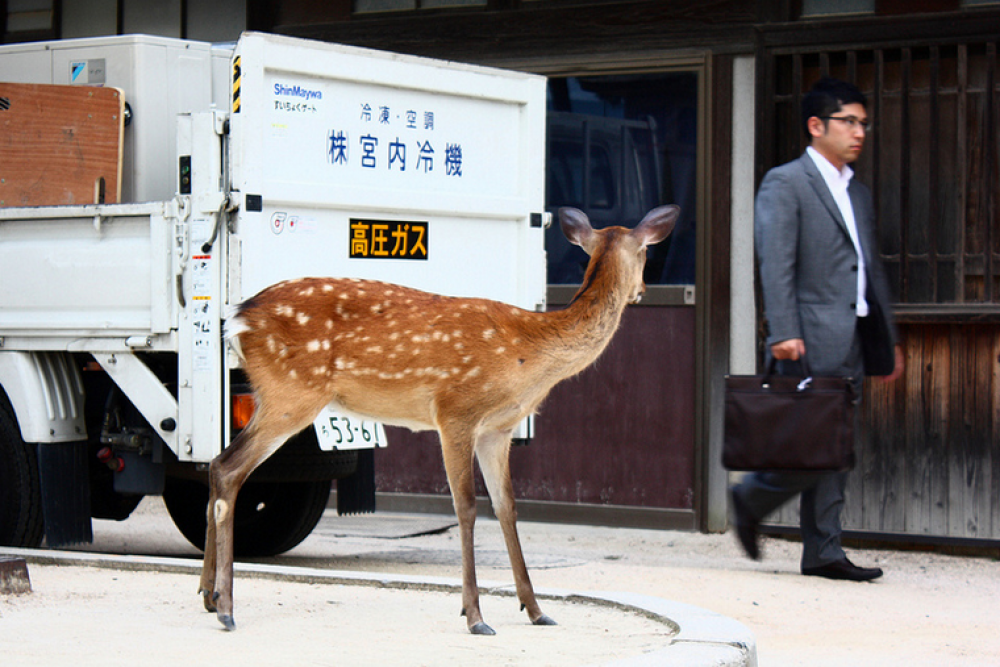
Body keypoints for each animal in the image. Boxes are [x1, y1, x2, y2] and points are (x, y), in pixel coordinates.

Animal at [201, 206, 680, 636]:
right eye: (647, 253)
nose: (642, 290)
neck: (529, 354)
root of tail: (236, 318)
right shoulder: (456, 411)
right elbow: (466, 507)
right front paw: (475, 616)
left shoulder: (498, 430)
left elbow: (507, 507)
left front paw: (536, 609)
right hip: (291, 391)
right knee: (229, 468)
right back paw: (226, 608)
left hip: (279, 394)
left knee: (215, 464)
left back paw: (207, 595)